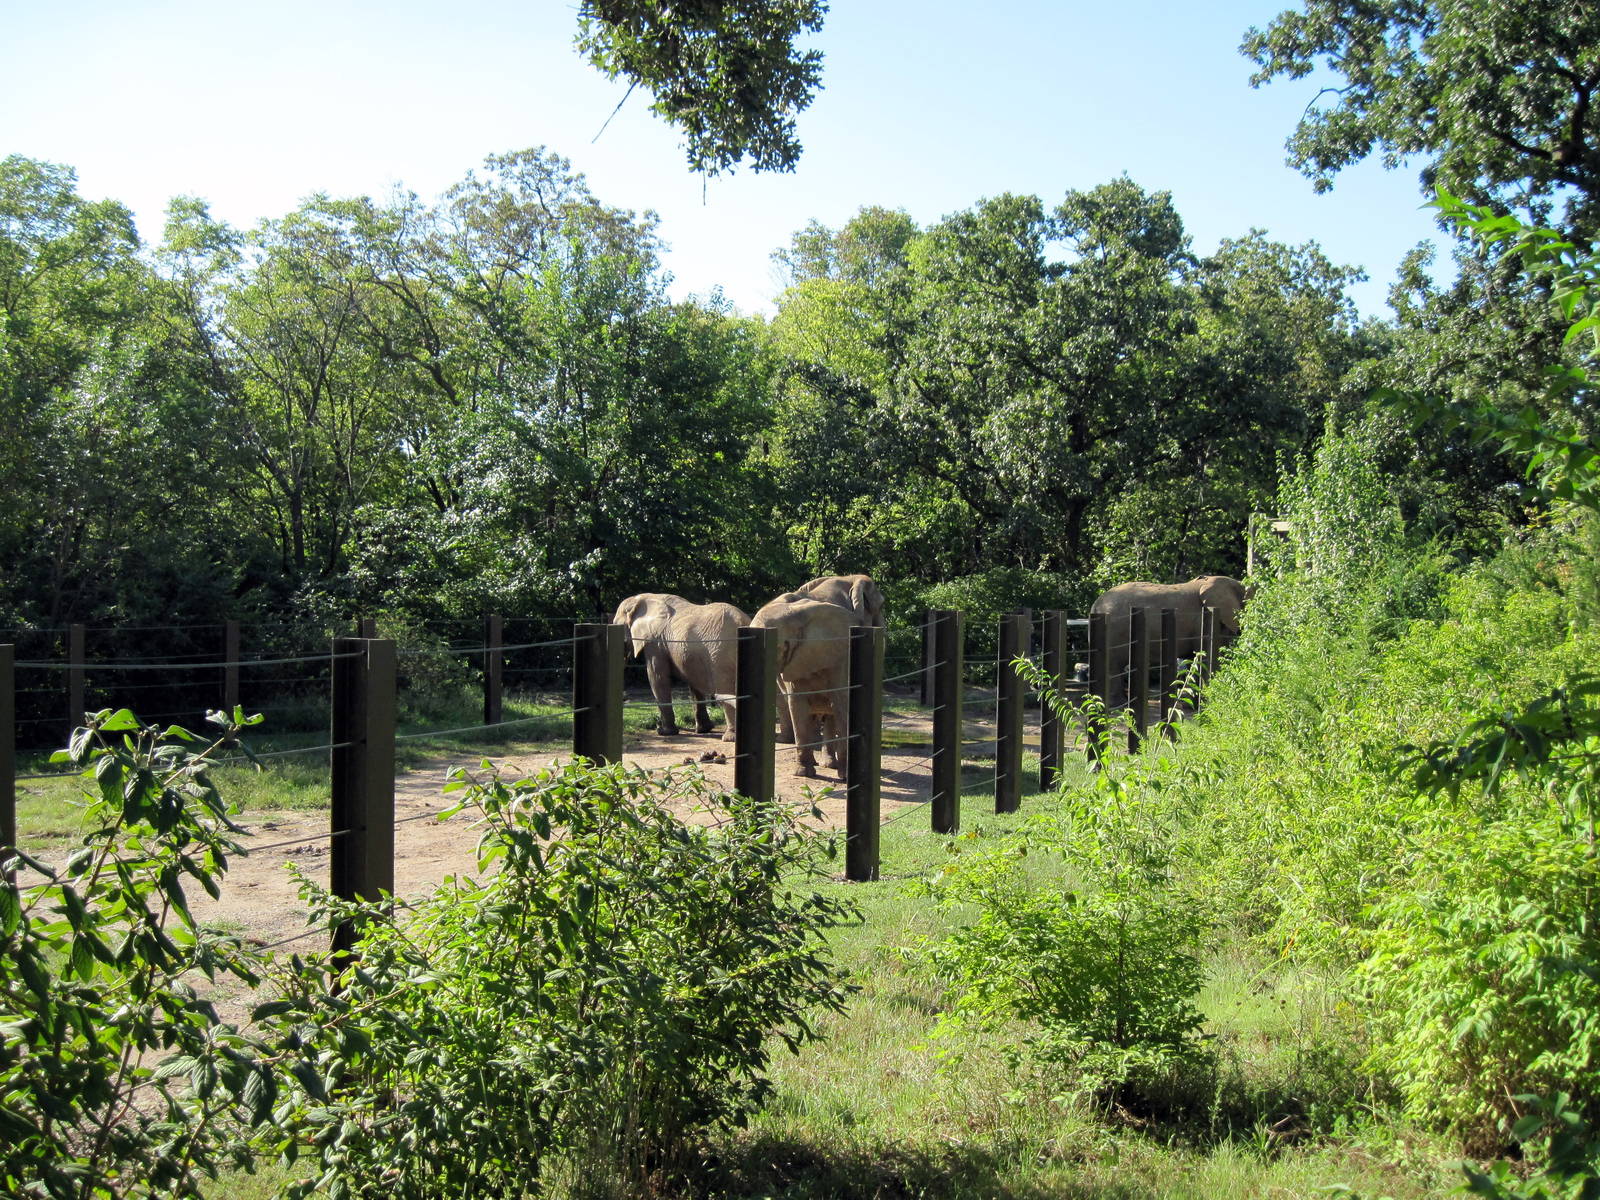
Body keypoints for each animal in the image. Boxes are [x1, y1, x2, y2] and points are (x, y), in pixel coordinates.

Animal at [611, 593, 749, 740]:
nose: (626, 698)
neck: (643, 598)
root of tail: (743, 622)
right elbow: (694, 682)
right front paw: (703, 730)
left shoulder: (655, 642)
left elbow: (657, 678)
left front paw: (664, 732)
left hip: (720, 653)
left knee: (724, 688)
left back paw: (730, 737)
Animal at [750, 593, 854, 778]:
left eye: (778, 647)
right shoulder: (793, 663)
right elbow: (798, 705)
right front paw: (803, 773)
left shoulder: (840, 658)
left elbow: (842, 705)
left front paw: (846, 777)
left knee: (831, 714)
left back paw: (830, 765)